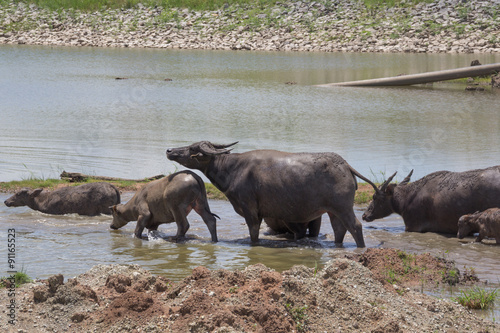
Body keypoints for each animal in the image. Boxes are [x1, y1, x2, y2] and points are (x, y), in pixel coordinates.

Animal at [166, 140, 376, 246]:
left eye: (192, 148)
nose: (169, 150)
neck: (233, 169)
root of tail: (346, 166)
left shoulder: (250, 210)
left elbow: (253, 234)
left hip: (343, 207)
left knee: (355, 226)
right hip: (333, 211)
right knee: (339, 229)